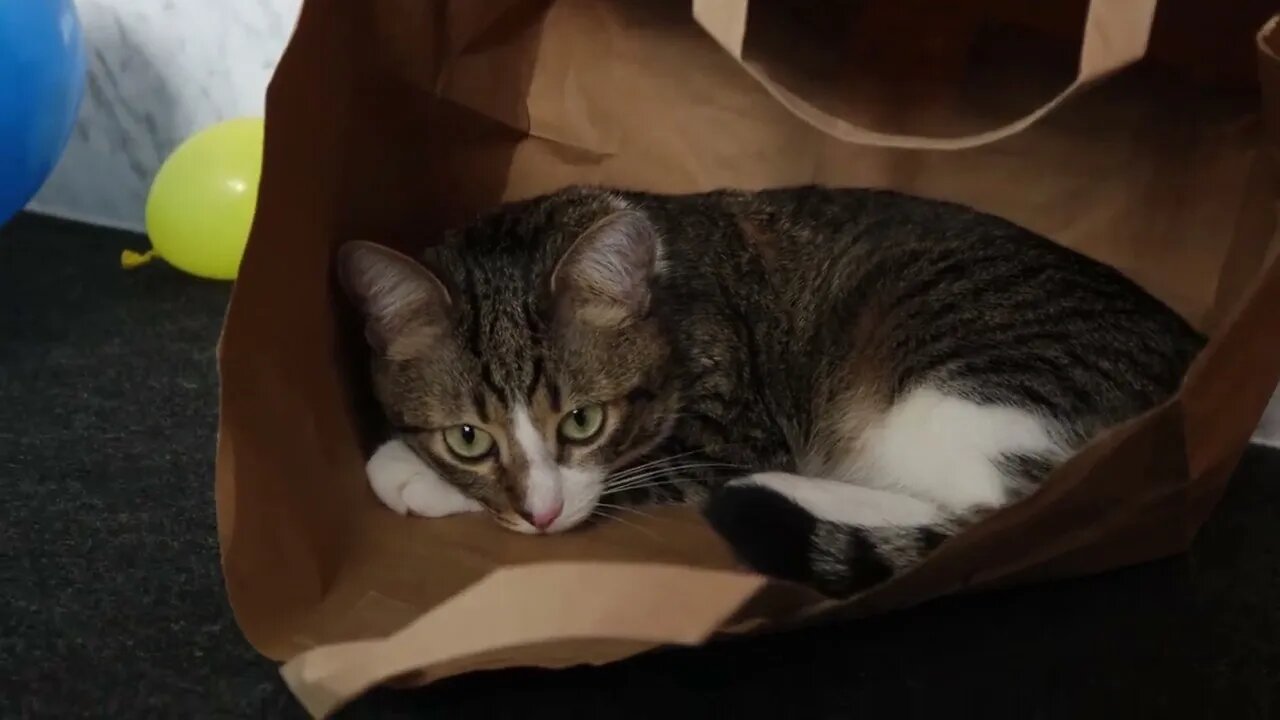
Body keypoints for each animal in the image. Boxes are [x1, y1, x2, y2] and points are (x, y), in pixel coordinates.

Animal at [337, 183, 1198, 594]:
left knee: (991, 507)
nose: (538, 517)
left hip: (966, 375)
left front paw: (408, 474)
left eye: (582, 423)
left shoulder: (729, 429)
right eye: (469, 436)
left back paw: (780, 491)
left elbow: (628, 478)